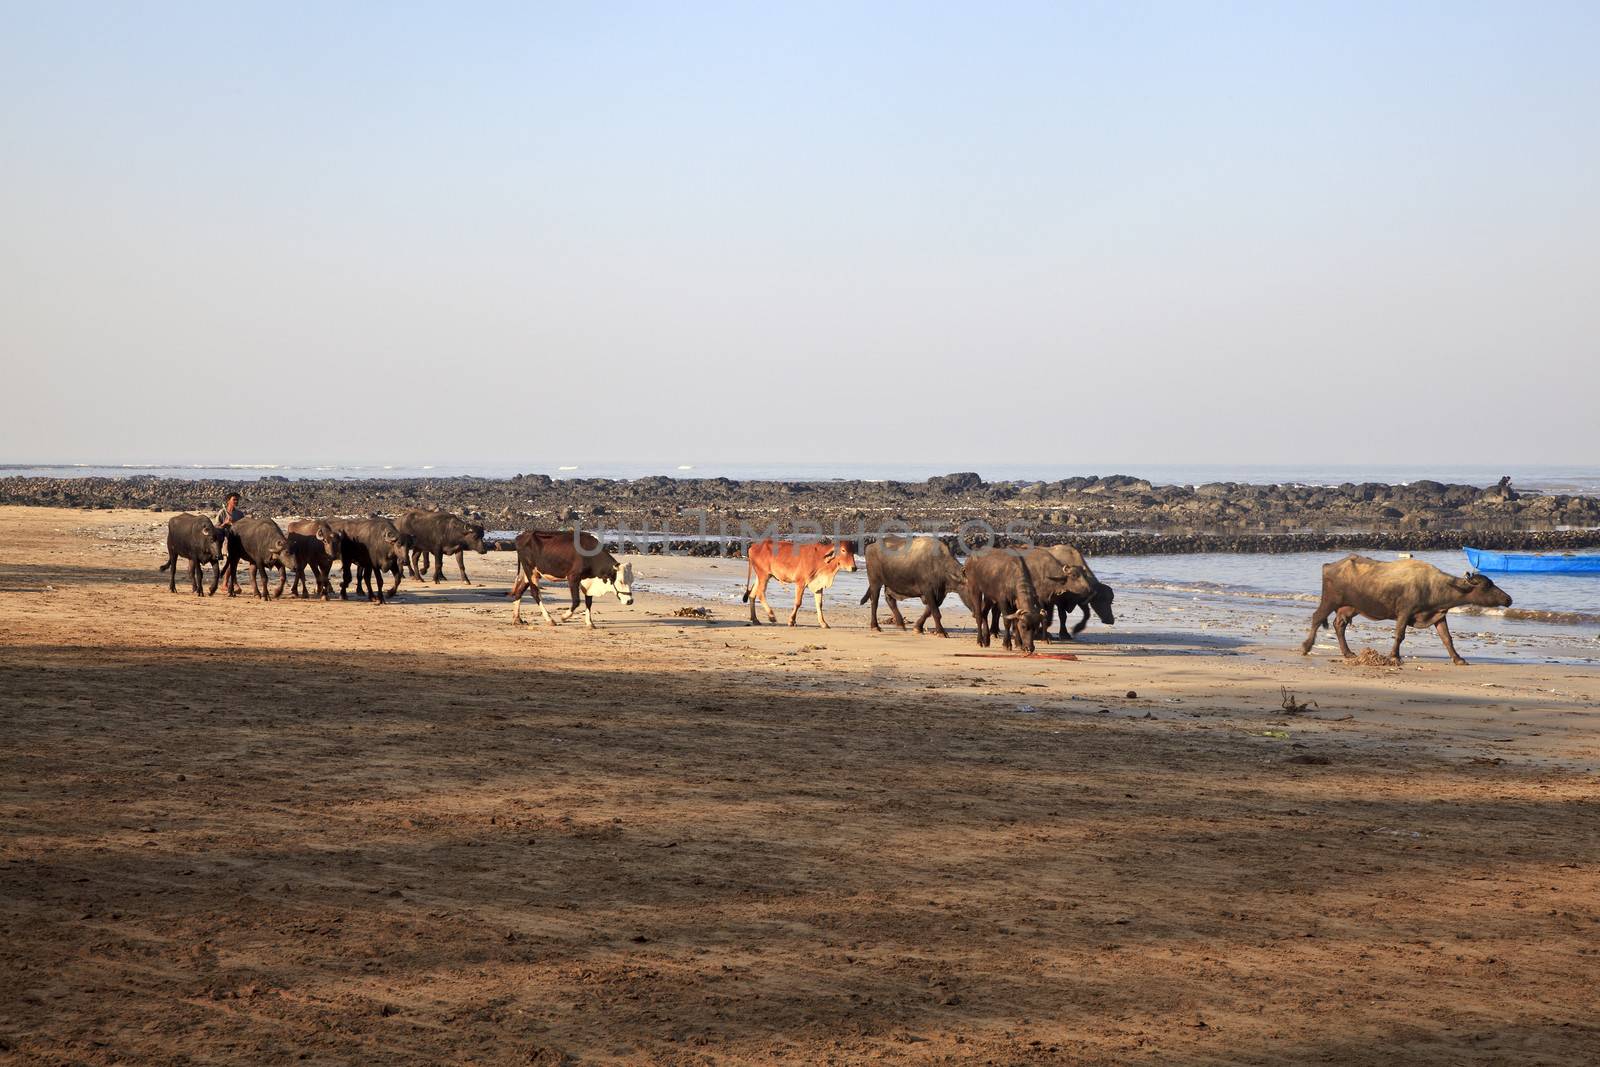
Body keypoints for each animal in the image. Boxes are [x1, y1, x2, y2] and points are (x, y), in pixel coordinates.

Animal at [1299, 556, 1510, 662]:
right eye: (1487, 586)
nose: (1508, 599)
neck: (1433, 586)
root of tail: (1329, 565)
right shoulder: (1404, 612)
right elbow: (1400, 635)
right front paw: (1394, 656)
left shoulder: (1438, 615)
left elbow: (1447, 638)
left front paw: (1458, 659)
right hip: (1330, 600)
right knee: (1317, 617)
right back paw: (1306, 646)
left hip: (1350, 607)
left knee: (1339, 625)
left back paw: (1348, 653)